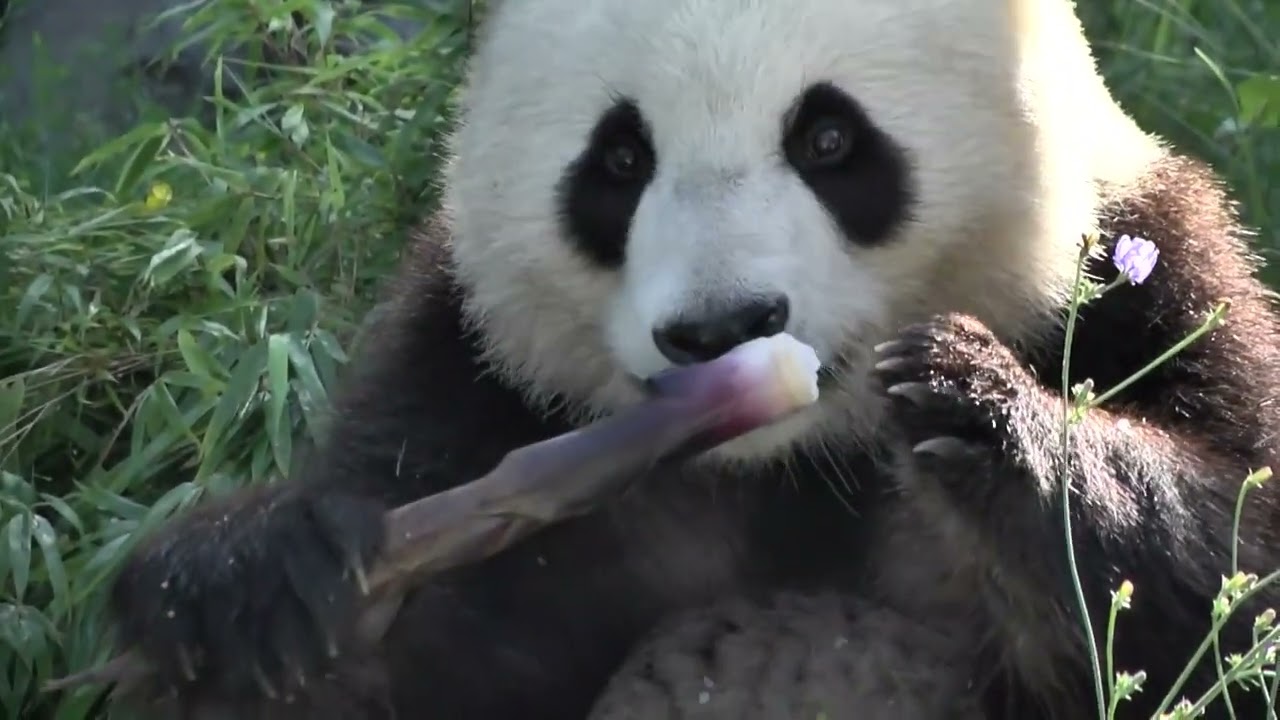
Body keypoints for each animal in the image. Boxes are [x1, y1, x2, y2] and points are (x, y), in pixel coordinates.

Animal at [103, 0, 1280, 718]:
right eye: (619, 159)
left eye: (827, 139)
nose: (723, 329)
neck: (797, 464)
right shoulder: (470, 367)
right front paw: (252, 587)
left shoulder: (1145, 273)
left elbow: (1234, 557)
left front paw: (976, 404)